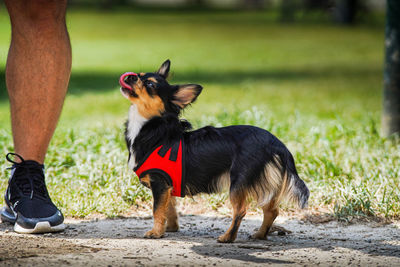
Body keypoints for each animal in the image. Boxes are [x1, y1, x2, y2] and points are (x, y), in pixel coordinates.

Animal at [119, 59, 310, 244]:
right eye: (139, 75)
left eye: (150, 84)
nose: (130, 76)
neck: (152, 127)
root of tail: (277, 144)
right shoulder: (168, 186)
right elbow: (169, 208)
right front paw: (170, 228)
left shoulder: (159, 182)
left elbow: (157, 210)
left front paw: (156, 232)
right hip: (264, 183)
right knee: (272, 211)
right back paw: (260, 235)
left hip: (239, 183)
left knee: (241, 210)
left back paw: (228, 237)